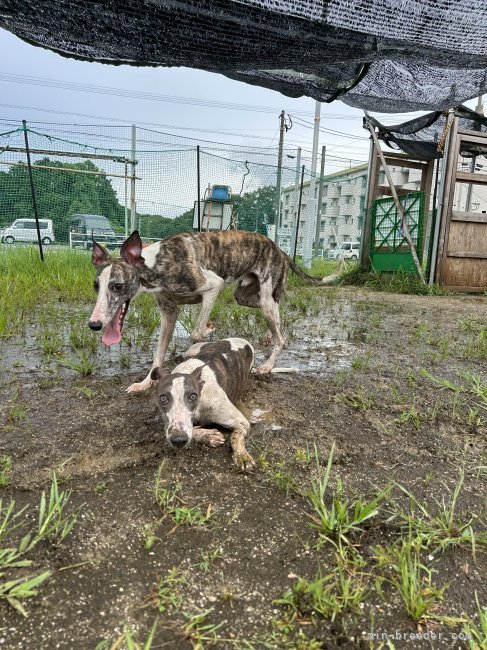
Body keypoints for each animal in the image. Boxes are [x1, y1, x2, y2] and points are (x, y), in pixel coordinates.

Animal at [88, 228, 344, 390]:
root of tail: (280, 249)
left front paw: (210, 330)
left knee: (282, 336)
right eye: (95, 285)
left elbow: (197, 332)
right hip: (248, 298)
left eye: (117, 286)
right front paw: (144, 383)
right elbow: (158, 354)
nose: (94, 324)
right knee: (278, 319)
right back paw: (268, 336)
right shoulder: (169, 313)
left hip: (265, 299)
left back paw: (268, 365)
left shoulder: (212, 285)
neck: (154, 263)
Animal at [151, 334, 254, 466]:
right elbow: (190, 430)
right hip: (191, 350)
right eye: (163, 398)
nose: (178, 440)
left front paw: (242, 455)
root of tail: (241, 339)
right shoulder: (167, 424)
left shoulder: (243, 422)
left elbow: (236, 435)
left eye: (193, 396)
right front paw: (208, 435)